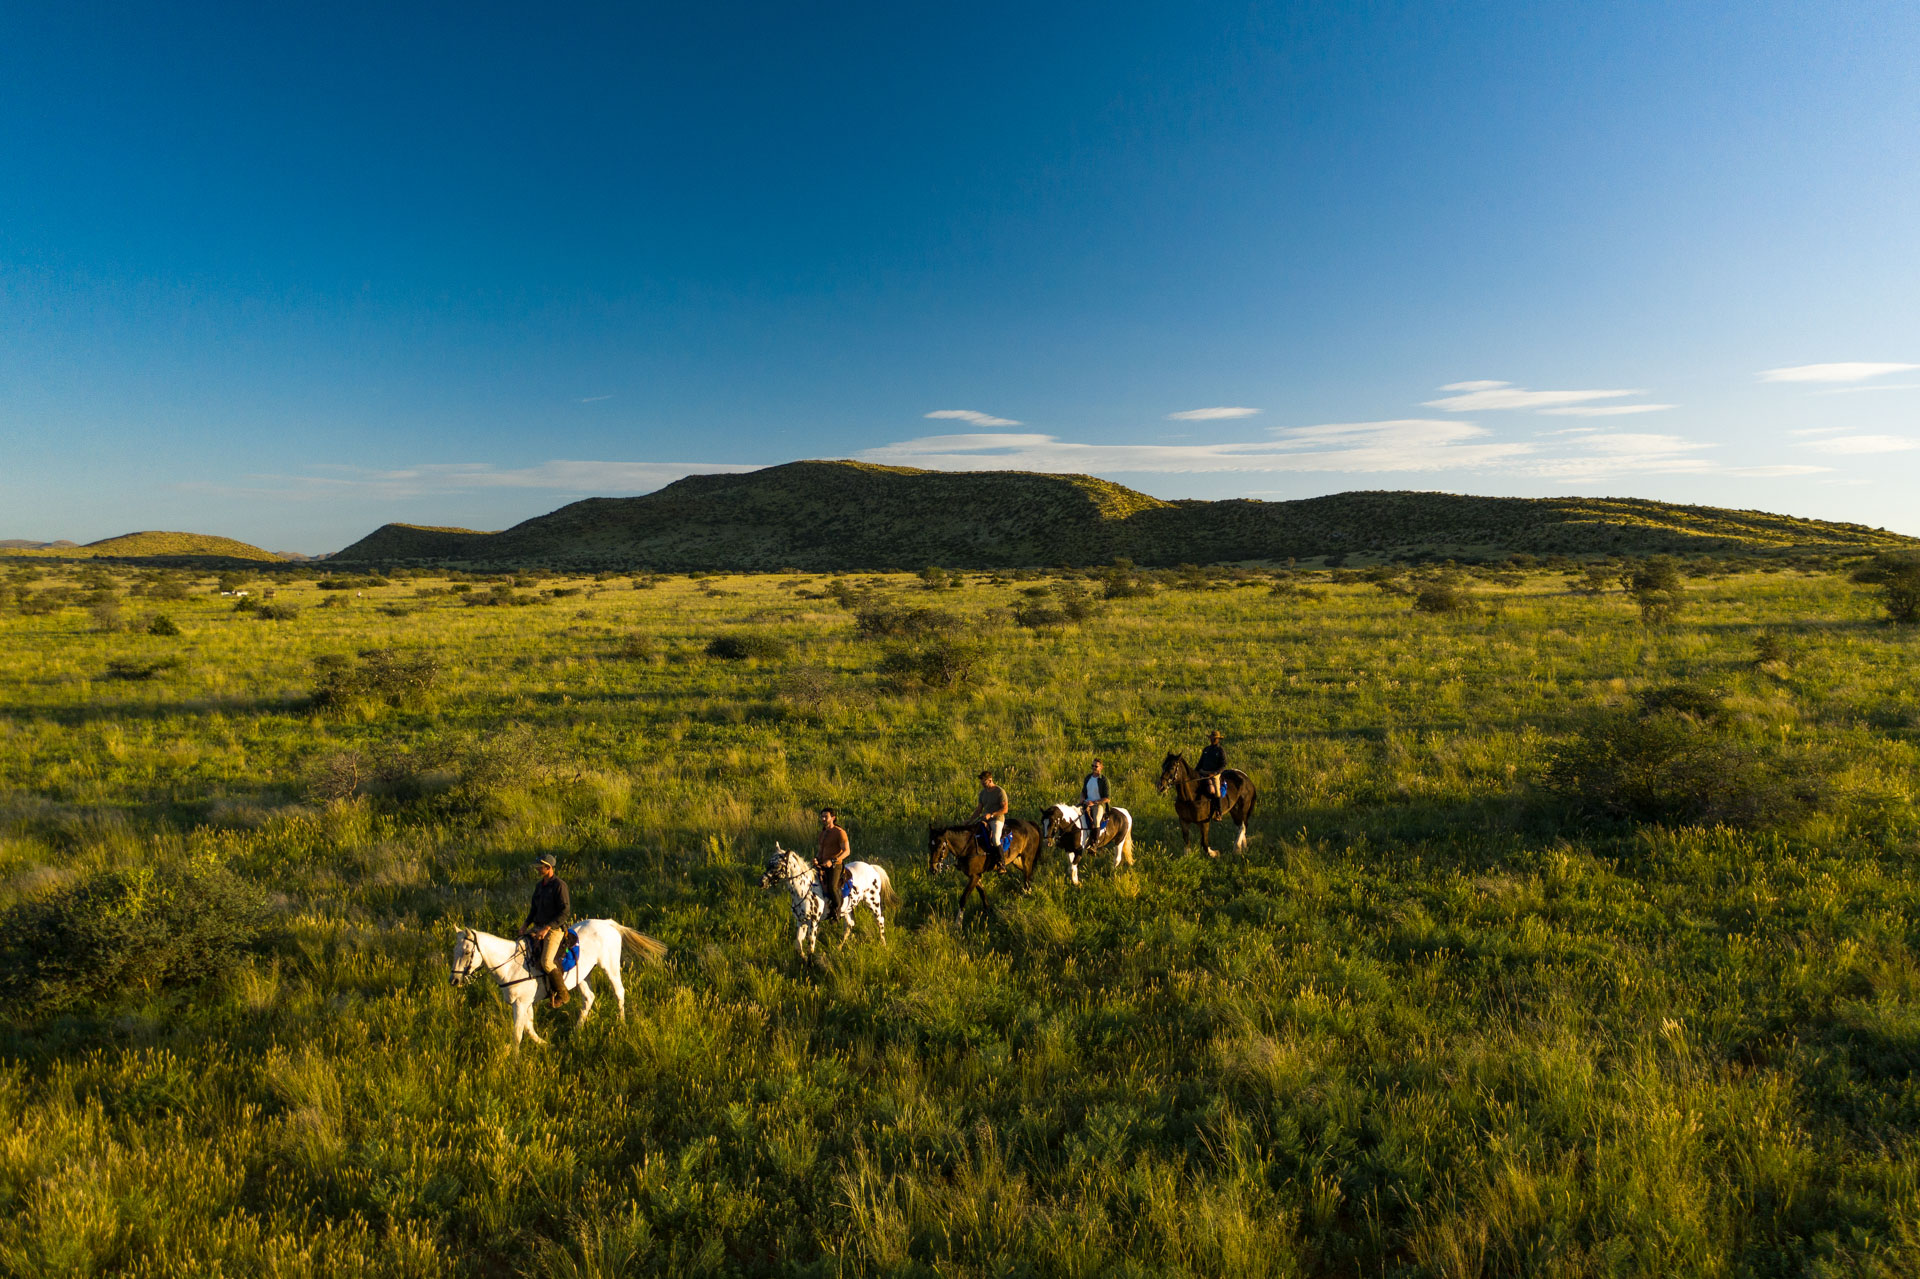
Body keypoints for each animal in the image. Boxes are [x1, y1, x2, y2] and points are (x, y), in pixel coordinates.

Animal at [449, 917, 668, 1044]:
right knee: (589, 998)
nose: (454, 980)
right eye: (454, 950)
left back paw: (621, 1023)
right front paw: (544, 1044)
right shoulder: (523, 1003)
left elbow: (518, 1032)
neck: (511, 965)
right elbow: (528, 1026)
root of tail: (607, 923)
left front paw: (514, 1062)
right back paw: (576, 1031)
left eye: (467, 952)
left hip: (610, 966)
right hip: (583, 976)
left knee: (619, 992)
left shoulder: (521, 1003)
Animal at [752, 841, 894, 952]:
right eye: (768, 863)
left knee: (880, 920)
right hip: (847, 908)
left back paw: (883, 944)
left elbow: (811, 946)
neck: (804, 890)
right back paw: (838, 948)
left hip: (873, 902)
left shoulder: (814, 922)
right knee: (849, 925)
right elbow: (798, 944)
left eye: (776, 865)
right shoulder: (801, 921)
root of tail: (871, 867)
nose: (761, 883)